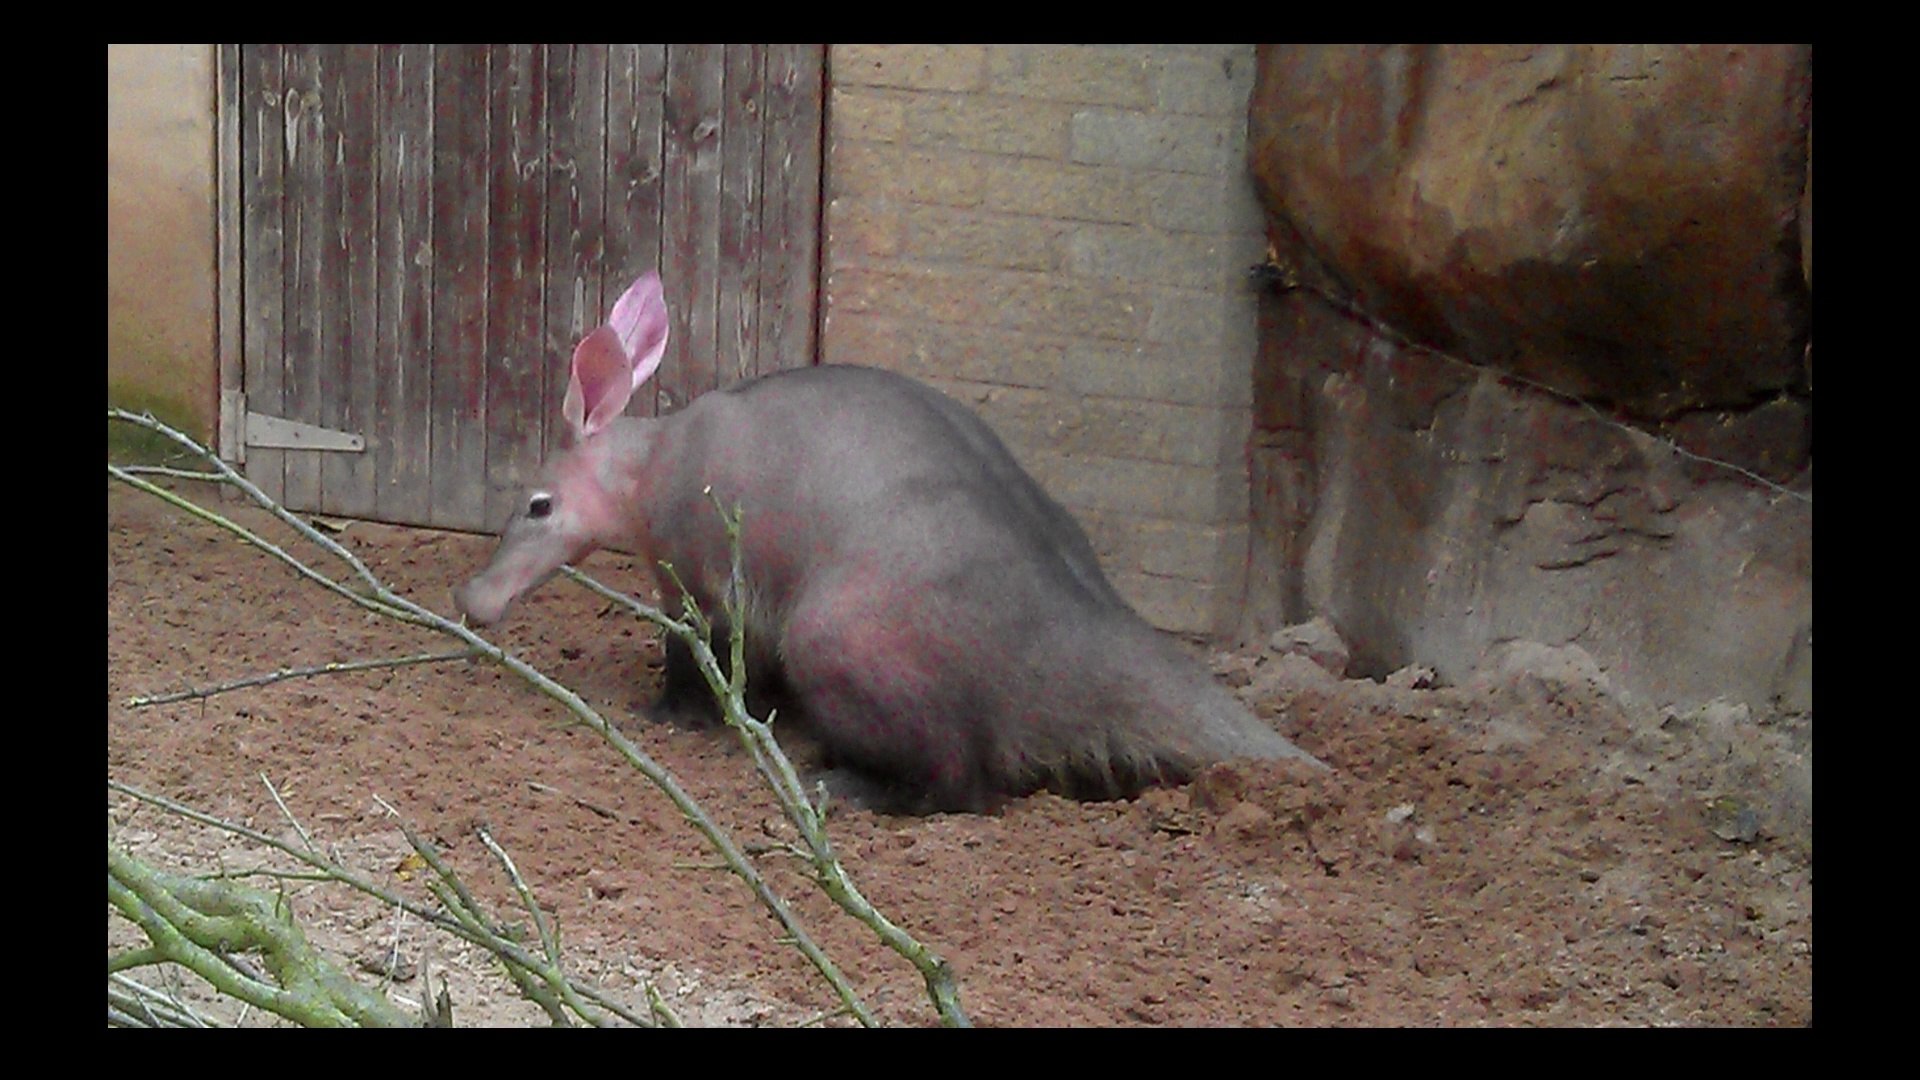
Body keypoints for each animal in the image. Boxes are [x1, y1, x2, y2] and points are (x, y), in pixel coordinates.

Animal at [456, 272, 1325, 812]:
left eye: (537, 505)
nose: (472, 598)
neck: (653, 463)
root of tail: (1076, 634)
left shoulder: (701, 580)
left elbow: (693, 654)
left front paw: (668, 713)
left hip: (838, 636)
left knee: (959, 783)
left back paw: (841, 785)